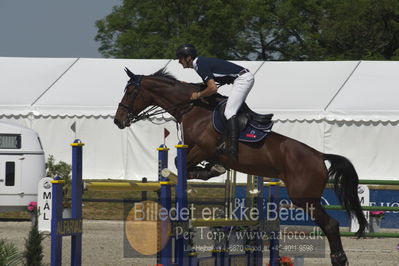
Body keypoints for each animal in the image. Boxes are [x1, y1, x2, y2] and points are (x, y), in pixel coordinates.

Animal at [114, 67, 368, 264]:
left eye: (130, 92)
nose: (118, 120)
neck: (193, 108)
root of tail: (319, 155)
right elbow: (190, 165)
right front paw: (208, 171)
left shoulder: (202, 148)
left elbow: (179, 163)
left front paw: (194, 176)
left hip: (305, 198)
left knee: (331, 224)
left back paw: (339, 259)